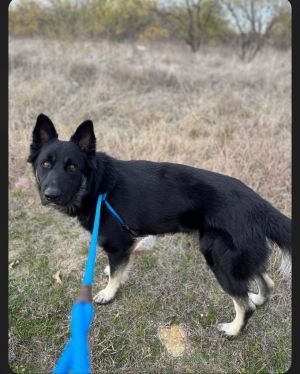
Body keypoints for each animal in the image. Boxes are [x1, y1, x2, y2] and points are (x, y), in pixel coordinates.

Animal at [28, 113, 290, 336]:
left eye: (72, 167)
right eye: (45, 164)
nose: (50, 195)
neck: (99, 185)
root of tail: (257, 203)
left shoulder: (118, 245)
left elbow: (116, 274)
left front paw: (108, 293)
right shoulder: (126, 246)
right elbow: (119, 268)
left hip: (219, 258)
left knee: (244, 305)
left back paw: (233, 330)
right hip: (241, 257)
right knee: (266, 281)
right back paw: (258, 298)